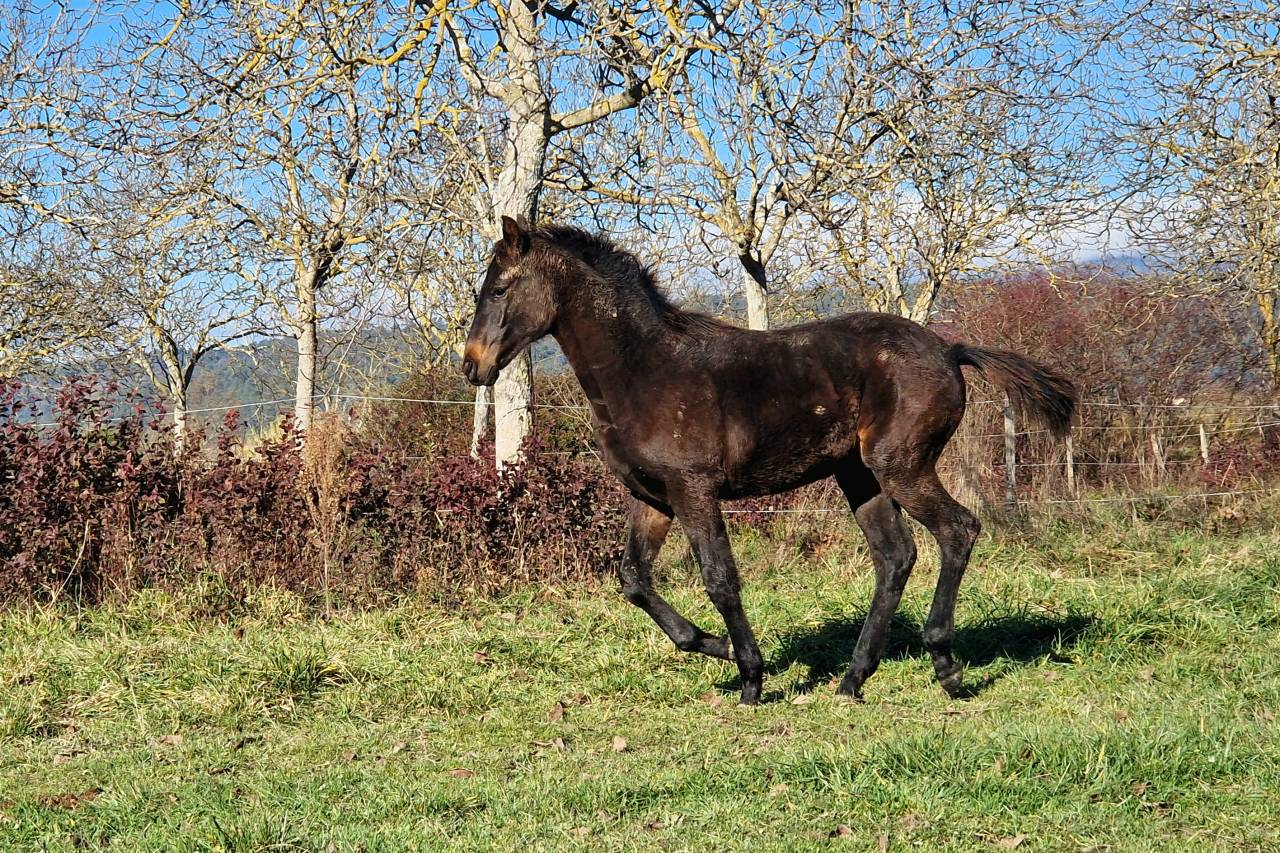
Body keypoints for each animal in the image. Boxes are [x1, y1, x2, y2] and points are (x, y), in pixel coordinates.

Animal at [463, 216, 1076, 705]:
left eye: (499, 289)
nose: (473, 366)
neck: (644, 373)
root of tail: (949, 349)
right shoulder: (651, 497)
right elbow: (634, 579)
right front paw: (713, 646)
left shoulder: (693, 491)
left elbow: (719, 578)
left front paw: (752, 676)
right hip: (861, 476)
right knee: (896, 556)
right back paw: (853, 679)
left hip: (901, 466)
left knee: (957, 530)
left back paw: (945, 665)